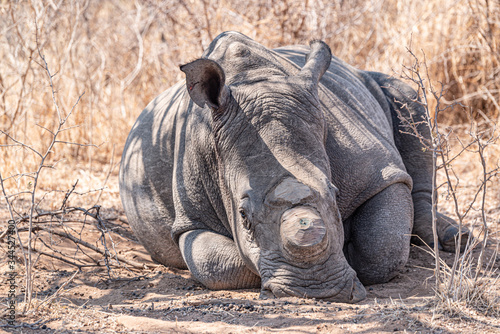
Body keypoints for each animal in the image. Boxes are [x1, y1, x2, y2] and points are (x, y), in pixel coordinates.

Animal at [119, 31, 466, 302]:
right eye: (242, 215)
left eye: (335, 194)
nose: (317, 289)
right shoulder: (190, 218)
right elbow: (214, 263)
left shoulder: (380, 173)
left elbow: (382, 245)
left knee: (405, 95)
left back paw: (452, 237)